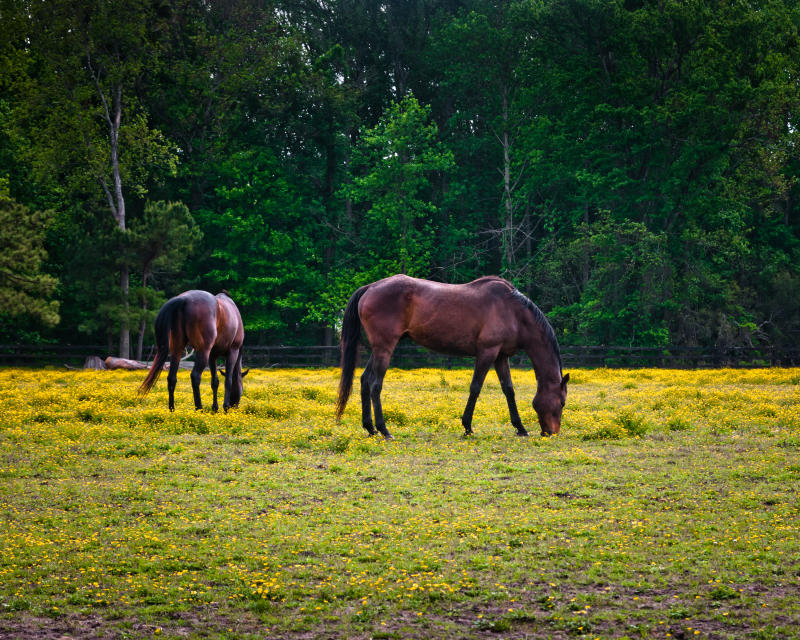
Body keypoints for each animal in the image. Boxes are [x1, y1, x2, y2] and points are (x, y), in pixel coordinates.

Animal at [338, 276, 568, 440]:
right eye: (562, 402)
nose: (552, 432)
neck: (513, 311)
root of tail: (370, 287)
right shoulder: (487, 352)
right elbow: (476, 387)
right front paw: (467, 427)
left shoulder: (501, 356)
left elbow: (508, 390)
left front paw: (520, 427)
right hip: (385, 348)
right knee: (375, 384)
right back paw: (384, 430)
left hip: (378, 349)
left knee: (365, 380)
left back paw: (370, 428)